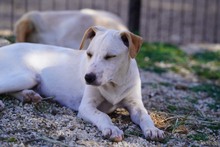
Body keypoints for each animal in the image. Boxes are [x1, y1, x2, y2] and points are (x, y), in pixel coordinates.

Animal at [0, 26, 163, 141]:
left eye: (110, 56)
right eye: (89, 54)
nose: (88, 78)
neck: (114, 84)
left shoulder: (135, 105)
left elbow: (145, 116)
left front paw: (153, 130)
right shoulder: (86, 107)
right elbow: (102, 115)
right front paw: (111, 129)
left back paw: (28, 95)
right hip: (27, 76)